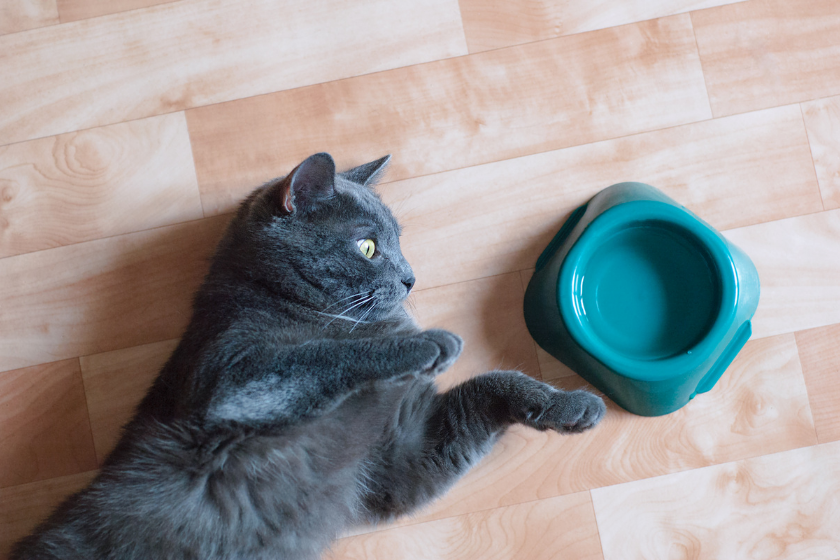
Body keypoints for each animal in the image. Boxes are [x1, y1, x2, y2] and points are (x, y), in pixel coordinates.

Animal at [13, 152, 604, 560]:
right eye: (368, 246)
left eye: (399, 239)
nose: (411, 278)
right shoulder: (229, 380)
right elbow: (325, 354)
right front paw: (430, 344)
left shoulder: (400, 454)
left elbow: (491, 385)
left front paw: (571, 406)